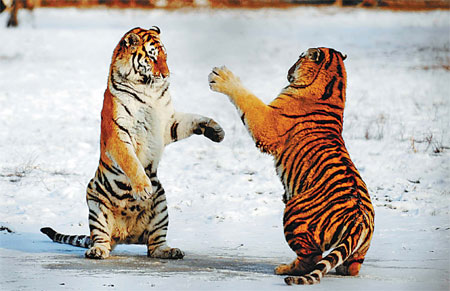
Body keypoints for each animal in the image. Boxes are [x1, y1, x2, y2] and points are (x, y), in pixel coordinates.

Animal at [40, 26, 225, 260]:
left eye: (165, 57)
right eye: (152, 57)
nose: (166, 75)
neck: (150, 90)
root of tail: (124, 235)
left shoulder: (167, 123)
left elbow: (192, 119)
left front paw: (216, 130)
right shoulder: (119, 133)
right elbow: (131, 161)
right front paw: (143, 188)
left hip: (161, 205)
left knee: (154, 246)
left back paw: (170, 251)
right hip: (96, 202)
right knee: (100, 237)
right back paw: (97, 251)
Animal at [209, 48, 374, 286]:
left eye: (300, 56)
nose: (288, 71)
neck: (334, 84)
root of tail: (358, 221)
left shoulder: (267, 123)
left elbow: (248, 99)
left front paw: (222, 77)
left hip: (294, 213)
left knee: (311, 258)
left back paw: (284, 269)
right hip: (359, 249)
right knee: (350, 267)